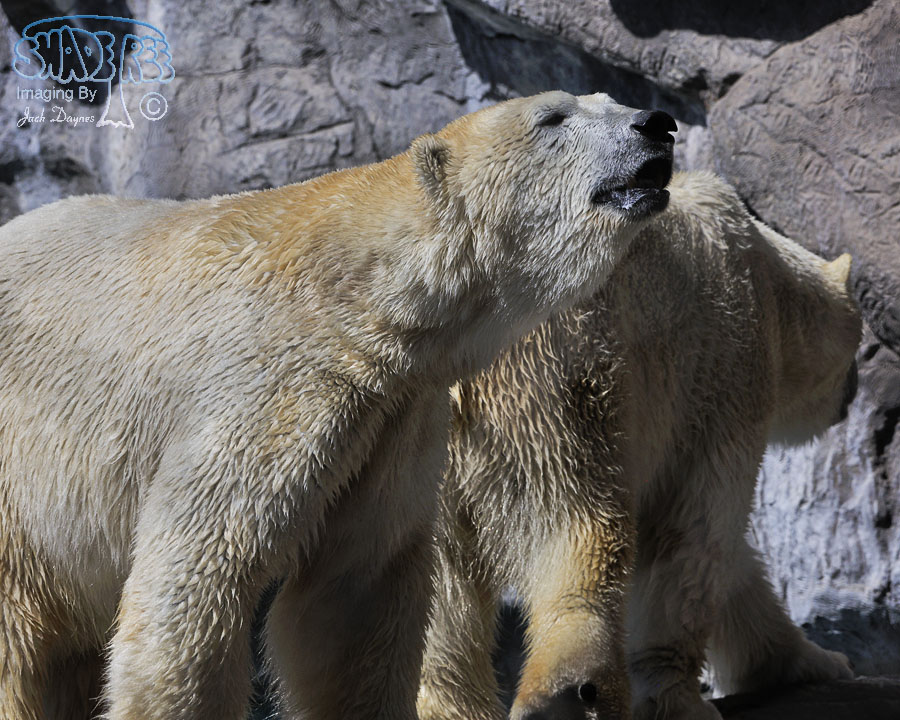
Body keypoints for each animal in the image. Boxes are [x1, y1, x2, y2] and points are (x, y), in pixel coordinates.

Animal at [0, 90, 677, 720]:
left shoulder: (393, 415)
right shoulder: (269, 386)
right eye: (552, 118)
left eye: (609, 100)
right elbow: (200, 570)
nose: (658, 123)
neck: (354, 292)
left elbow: (353, 594)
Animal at [417, 171, 861, 720]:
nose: (855, 391)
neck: (761, 271)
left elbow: (734, 567)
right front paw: (684, 700)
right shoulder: (721, 376)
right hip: (553, 376)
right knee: (577, 524)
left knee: (435, 588)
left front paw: (814, 661)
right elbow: (694, 533)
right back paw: (569, 691)